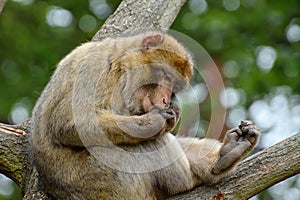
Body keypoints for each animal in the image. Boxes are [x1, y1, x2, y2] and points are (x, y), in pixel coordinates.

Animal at [31, 31, 260, 200]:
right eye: (166, 76)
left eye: (174, 87)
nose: (166, 100)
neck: (120, 65)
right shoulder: (95, 69)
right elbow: (66, 124)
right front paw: (153, 122)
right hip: (106, 182)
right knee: (146, 143)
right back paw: (185, 182)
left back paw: (225, 156)